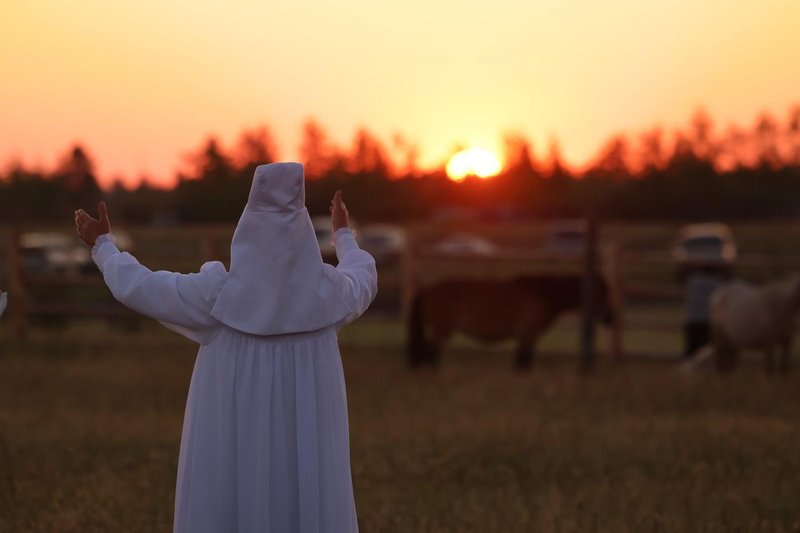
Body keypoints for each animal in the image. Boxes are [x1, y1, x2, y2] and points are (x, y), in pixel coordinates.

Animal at [410, 274, 616, 370]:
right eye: (602, 293)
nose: (611, 318)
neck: (542, 294)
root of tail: (428, 289)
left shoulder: (525, 335)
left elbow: (521, 360)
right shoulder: (529, 334)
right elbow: (524, 360)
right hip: (442, 330)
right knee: (430, 350)